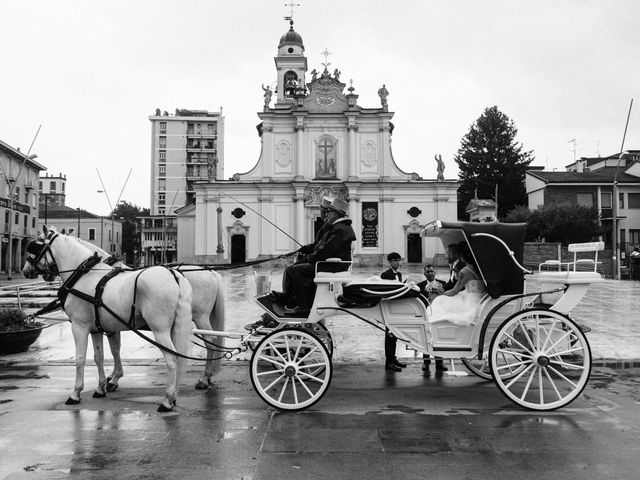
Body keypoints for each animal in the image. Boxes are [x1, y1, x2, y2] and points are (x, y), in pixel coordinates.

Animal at [23, 227, 192, 410]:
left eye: (35, 246)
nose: (26, 270)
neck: (84, 275)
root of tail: (173, 274)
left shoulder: (79, 327)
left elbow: (80, 358)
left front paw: (76, 393)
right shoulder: (97, 329)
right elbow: (100, 357)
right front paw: (100, 387)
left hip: (160, 330)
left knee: (172, 360)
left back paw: (167, 400)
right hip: (173, 328)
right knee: (178, 357)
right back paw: (173, 396)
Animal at [71, 238, 226, 392]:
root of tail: (211, 271)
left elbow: (114, 350)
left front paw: (113, 378)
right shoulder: (110, 325)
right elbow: (115, 348)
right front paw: (113, 377)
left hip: (200, 316)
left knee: (210, 340)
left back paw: (204, 378)